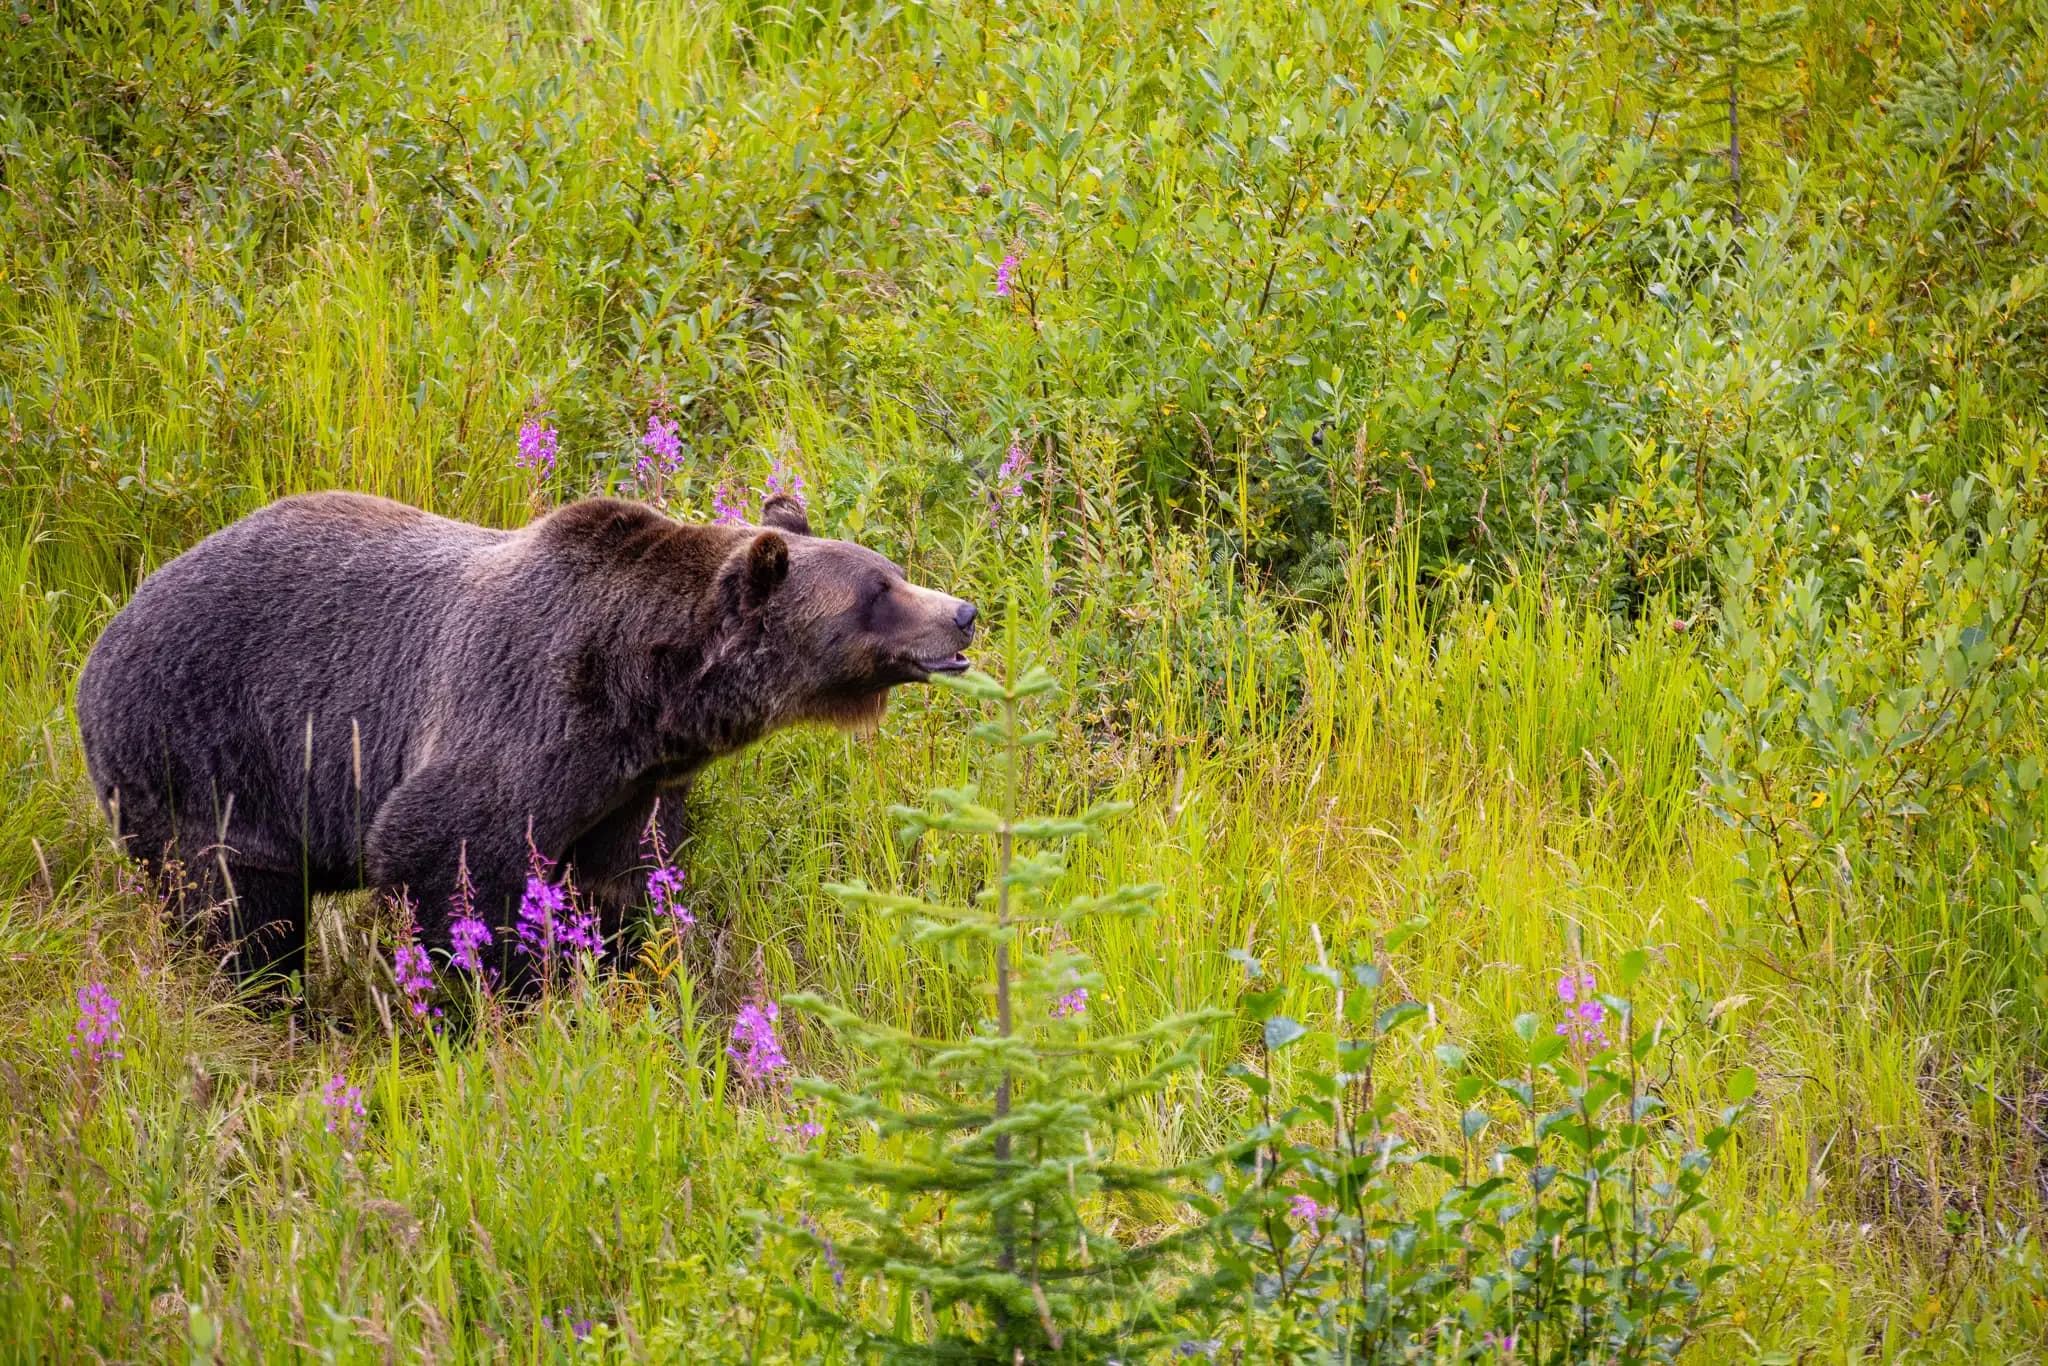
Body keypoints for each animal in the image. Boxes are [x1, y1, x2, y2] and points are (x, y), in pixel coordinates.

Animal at [75, 489, 976, 985]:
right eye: (879, 591)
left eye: (891, 571)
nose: (963, 611)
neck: (644, 693)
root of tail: (104, 636)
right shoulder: (519, 719)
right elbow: (443, 853)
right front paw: (495, 993)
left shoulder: (629, 785)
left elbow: (627, 879)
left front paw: (617, 966)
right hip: (206, 756)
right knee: (237, 915)